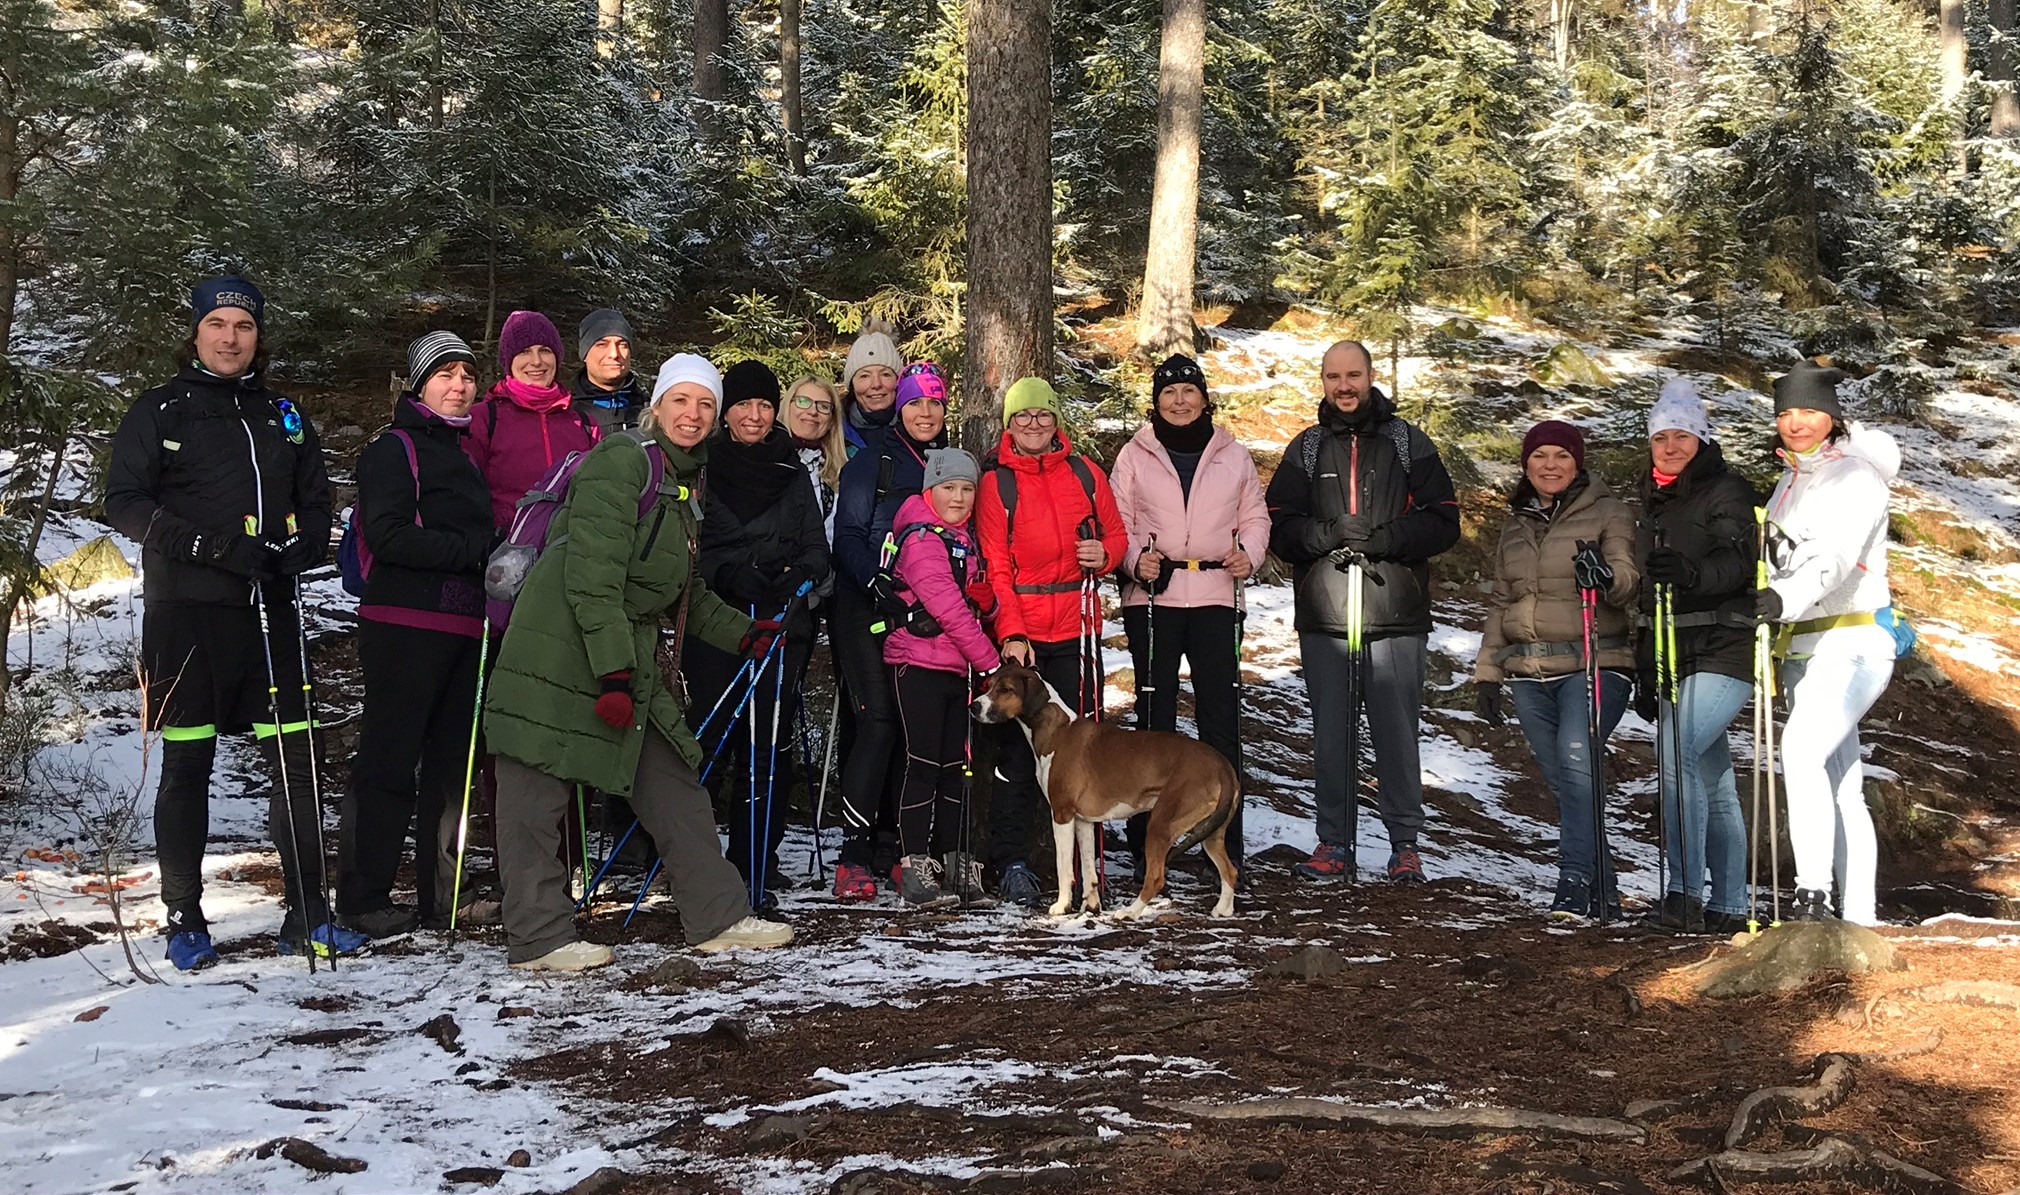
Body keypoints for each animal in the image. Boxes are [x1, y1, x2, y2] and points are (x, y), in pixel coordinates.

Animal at [969, 658, 1236, 920]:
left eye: (1006, 690)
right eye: (989, 685)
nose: (974, 706)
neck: (1056, 731)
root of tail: (1223, 765)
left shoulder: (1062, 815)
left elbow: (1064, 867)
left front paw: (1062, 906)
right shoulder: (1084, 821)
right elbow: (1089, 870)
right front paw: (1091, 906)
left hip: (1161, 825)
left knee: (1156, 878)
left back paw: (1129, 912)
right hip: (1211, 832)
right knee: (1230, 871)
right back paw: (1223, 909)